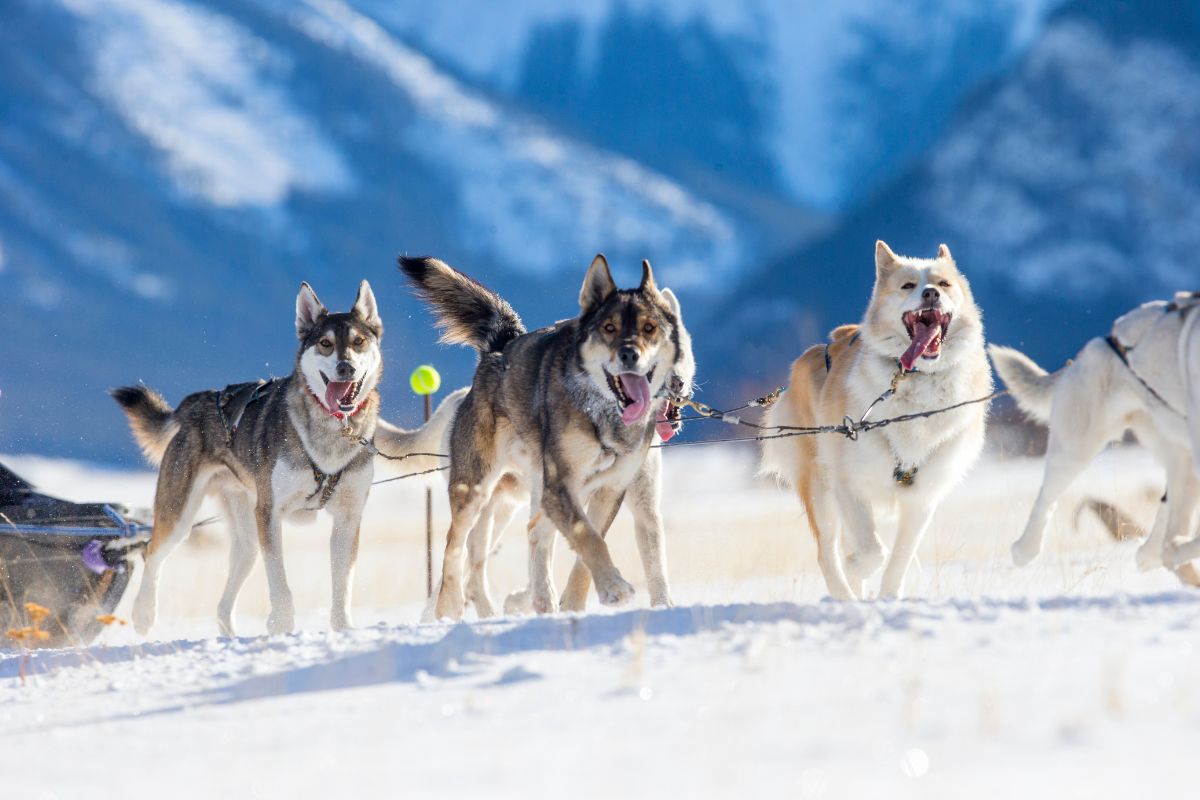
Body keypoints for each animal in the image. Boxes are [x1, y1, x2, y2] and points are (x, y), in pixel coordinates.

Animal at [113, 281, 412, 638]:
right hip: (180, 514)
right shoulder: (269, 512)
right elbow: (279, 579)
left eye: (358, 342)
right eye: (325, 344)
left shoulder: (348, 517)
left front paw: (343, 627)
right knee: (153, 552)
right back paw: (144, 614)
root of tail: (195, 402)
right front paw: (282, 625)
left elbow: (343, 584)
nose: (346, 368)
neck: (331, 431)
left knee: (225, 598)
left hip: (246, 540)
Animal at [400, 253, 691, 623]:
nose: (629, 355)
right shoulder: (561, 486)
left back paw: (543, 602)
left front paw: (585, 600)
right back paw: (449, 606)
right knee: (455, 544)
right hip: (477, 489)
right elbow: (588, 537)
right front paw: (614, 587)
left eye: (649, 328)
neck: (604, 412)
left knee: (534, 532)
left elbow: (588, 547)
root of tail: (502, 347)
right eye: (609, 328)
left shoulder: (611, 490)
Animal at [763, 241, 988, 597]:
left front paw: (888, 597)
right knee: (827, 554)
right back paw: (846, 596)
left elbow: (898, 559)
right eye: (908, 285)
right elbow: (872, 551)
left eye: (944, 283)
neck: (915, 384)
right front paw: (858, 565)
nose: (930, 294)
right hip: (820, 489)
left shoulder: (922, 499)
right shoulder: (848, 485)